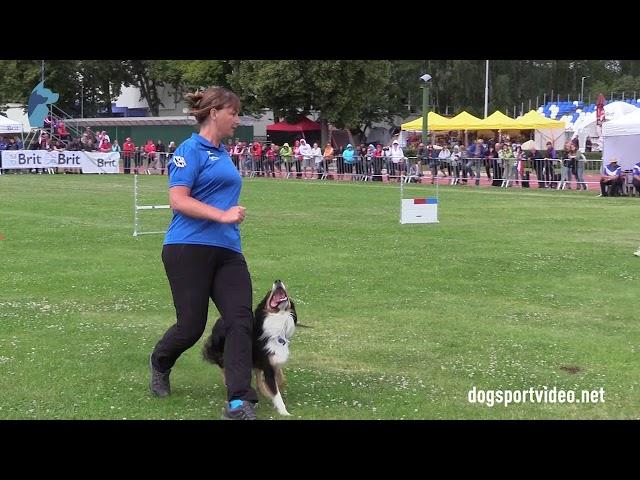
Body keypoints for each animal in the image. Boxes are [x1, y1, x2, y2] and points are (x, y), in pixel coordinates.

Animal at [202, 280, 298, 414]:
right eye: (269, 292)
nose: (278, 281)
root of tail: (220, 319)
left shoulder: (273, 360)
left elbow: (281, 381)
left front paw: (270, 392)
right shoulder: (267, 365)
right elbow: (276, 391)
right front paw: (284, 412)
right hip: (221, 351)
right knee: (223, 367)